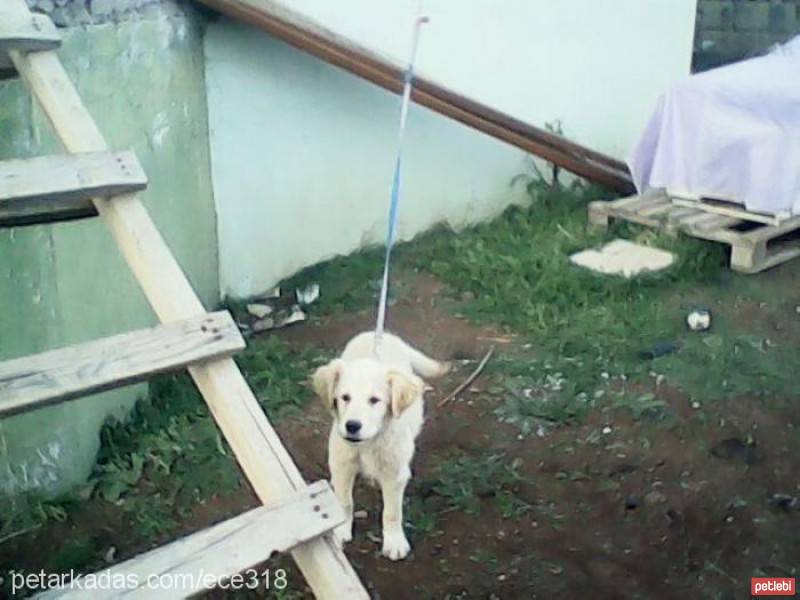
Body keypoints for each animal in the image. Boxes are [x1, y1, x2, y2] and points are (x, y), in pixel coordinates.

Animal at [312, 330, 450, 560]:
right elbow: (344, 501)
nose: (351, 426)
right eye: (345, 398)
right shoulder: (342, 464)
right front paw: (341, 531)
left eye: (374, 400)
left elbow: (392, 512)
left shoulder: (395, 473)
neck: (368, 442)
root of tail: (379, 333)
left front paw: (394, 542)